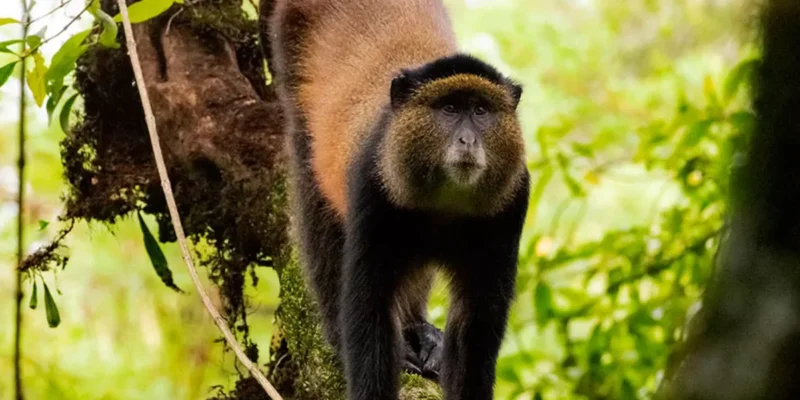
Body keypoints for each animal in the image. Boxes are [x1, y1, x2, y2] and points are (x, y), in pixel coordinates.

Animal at [263, 1, 530, 399]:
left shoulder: (512, 201)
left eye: (481, 110)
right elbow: (368, 307)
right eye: (450, 109)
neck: (444, 203)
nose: (467, 140)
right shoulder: (372, 187)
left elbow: (477, 322)